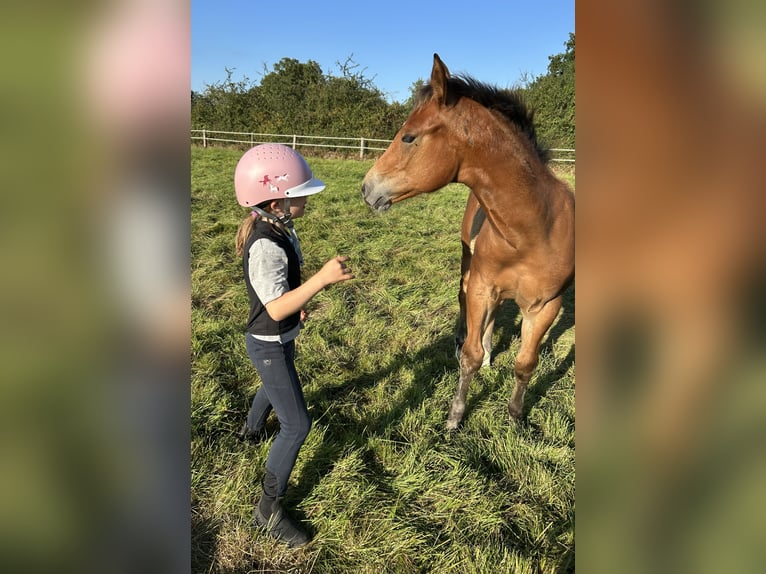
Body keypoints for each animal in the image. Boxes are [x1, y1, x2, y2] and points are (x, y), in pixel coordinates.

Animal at [361, 54, 574, 430]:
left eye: (409, 137)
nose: (366, 188)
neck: (534, 230)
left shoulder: (546, 306)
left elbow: (525, 364)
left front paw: (516, 416)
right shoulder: (480, 287)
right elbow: (470, 358)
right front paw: (454, 417)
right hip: (468, 266)